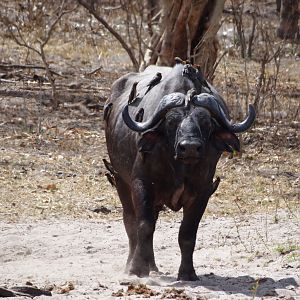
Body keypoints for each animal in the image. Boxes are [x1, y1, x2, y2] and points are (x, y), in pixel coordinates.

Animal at [103, 63, 255, 282]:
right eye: (171, 121)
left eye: (205, 122)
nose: (190, 147)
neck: (179, 167)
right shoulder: (141, 184)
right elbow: (144, 226)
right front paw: (137, 269)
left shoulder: (202, 192)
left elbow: (187, 233)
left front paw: (187, 273)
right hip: (120, 181)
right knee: (131, 222)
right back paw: (134, 264)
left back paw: (153, 267)